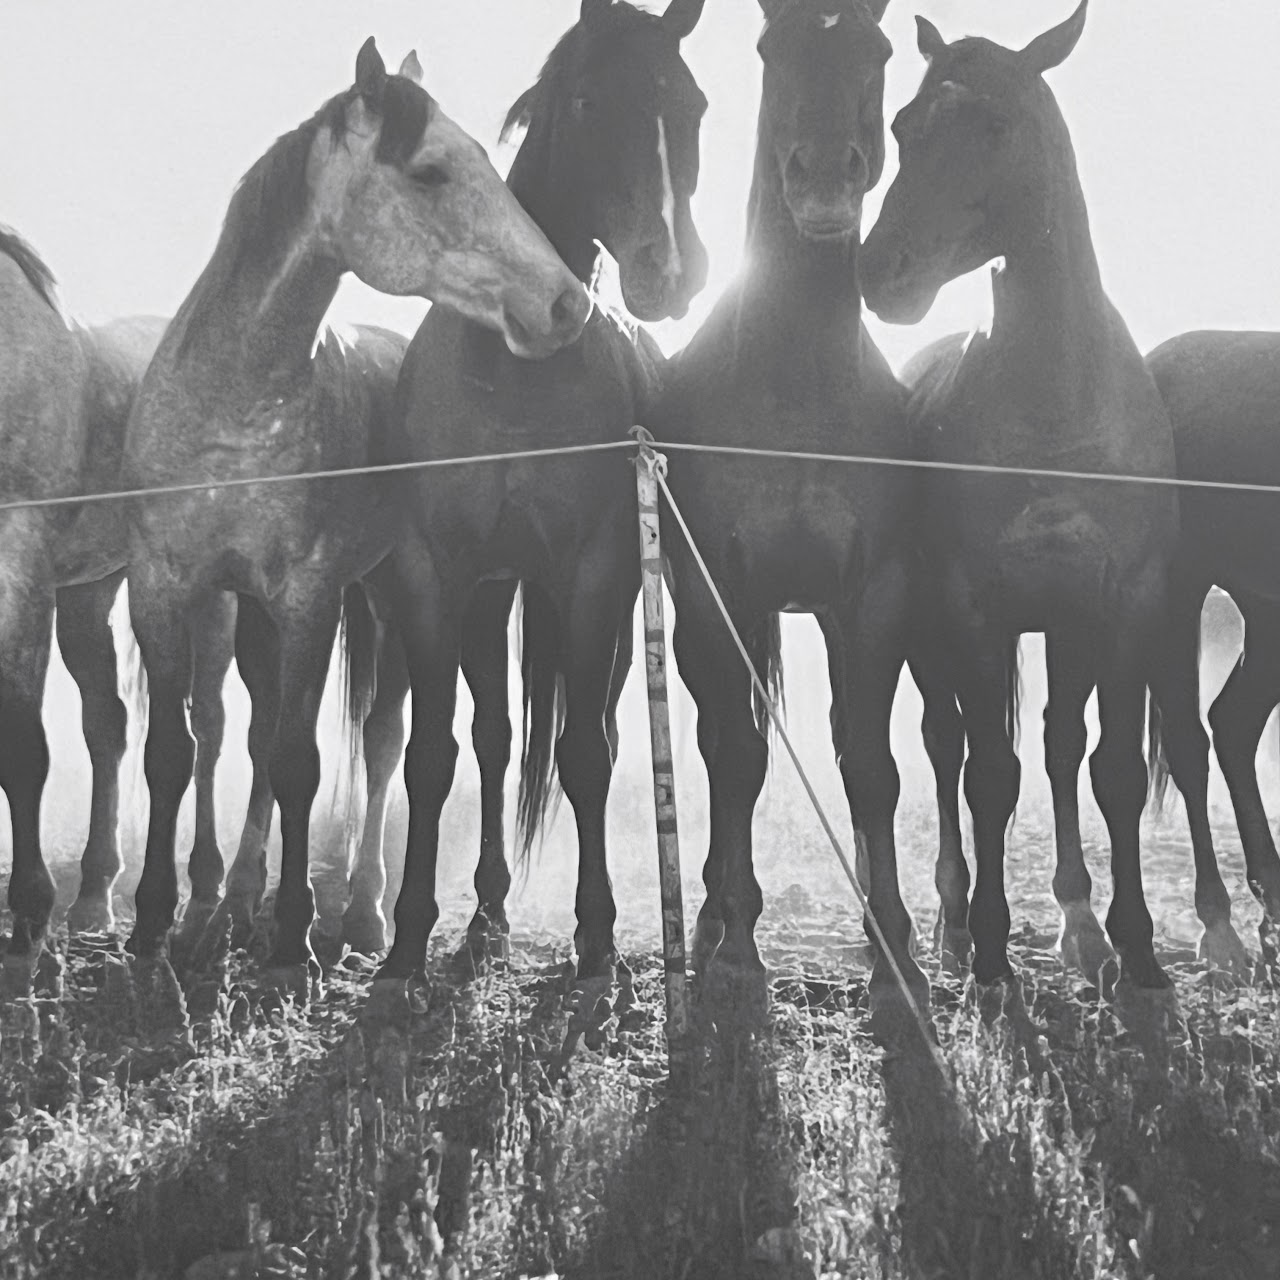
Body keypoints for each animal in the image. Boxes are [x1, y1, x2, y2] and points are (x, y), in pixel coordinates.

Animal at [0, 225, 243, 977]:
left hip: (206, 603)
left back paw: (201, 893)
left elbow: (23, 750)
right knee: (106, 725)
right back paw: (93, 900)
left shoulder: (19, 565)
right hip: (87, 595)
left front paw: (28, 927)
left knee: (208, 727)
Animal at [117, 37, 586, 977]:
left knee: (385, 741)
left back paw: (369, 914)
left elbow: (300, 760)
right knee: (261, 734)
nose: (566, 304)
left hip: (405, 598)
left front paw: (295, 937)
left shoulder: (311, 597)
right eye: (432, 170)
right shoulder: (167, 589)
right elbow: (177, 753)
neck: (231, 406)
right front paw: (154, 925)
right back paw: (232, 905)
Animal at [373, 0, 716, 1003]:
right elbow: (436, 754)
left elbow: (589, 757)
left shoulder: (595, 573)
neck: (509, 368)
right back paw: (484, 917)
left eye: (692, 106)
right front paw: (407, 944)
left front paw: (598, 943)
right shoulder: (435, 575)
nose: (671, 270)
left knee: (589, 732)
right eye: (590, 98)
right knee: (490, 741)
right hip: (492, 597)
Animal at [650, 0, 921, 1024]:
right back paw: (713, 914)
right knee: (718, 743)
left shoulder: (873, 599)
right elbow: (736, 758)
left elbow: (870, 766)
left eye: (876, 52)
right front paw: (737, 947)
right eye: (772, 50)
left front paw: (897, 955)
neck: (794, 380)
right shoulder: (721, 590)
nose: (823, 176)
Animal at [860, 2, 1177, 998]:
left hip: (1064, 628)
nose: (881, 271)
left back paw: (1079, 926)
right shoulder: (972, 609)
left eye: (995, 126)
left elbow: (1110, 771)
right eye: (902, 127)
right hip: (928, 635)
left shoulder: (1123, 604)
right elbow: (989, 776)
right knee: (946, 747)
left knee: (1061, 745)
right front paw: (995, 953)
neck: (1059, 404)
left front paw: (1135, 948)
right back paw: (955, 924)